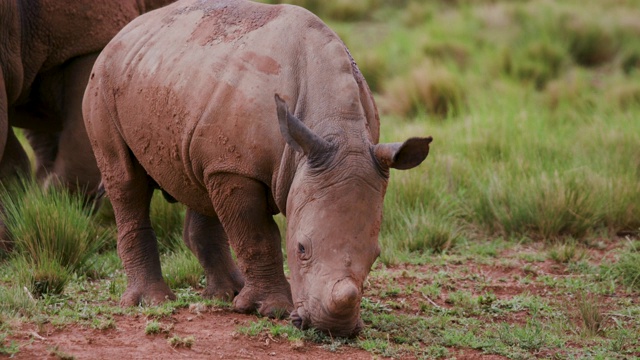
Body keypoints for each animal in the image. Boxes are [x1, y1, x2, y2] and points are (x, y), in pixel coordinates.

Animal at [82, 0, 432, 338]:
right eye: (301, 249)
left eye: (376, 256)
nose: (333, 329)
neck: (338, 130)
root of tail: (126, 30)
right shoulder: (237, 169)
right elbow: (258, 236)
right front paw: (272, 310)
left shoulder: (234, 162)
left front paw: (258, 304)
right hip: (103, 81)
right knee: (126, 182)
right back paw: (153, 302)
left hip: (178, 83)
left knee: (200, 185)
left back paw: (226, 295)